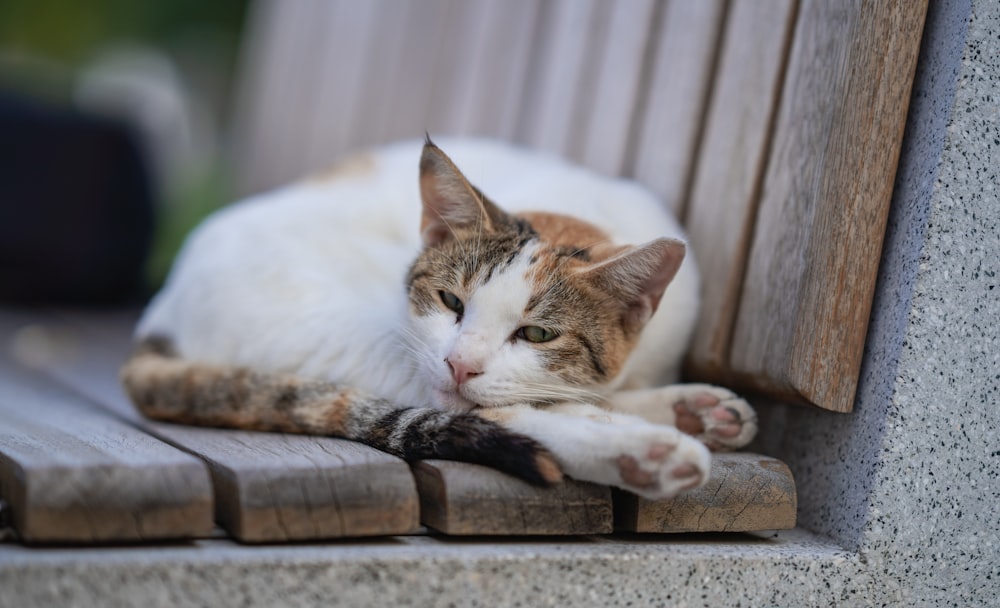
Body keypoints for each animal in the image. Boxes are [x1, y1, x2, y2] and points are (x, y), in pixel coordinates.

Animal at [119, 137, 756, 498]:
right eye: (451, 302)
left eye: (538, 333)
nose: (460, 364)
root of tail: (160, 309)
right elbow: (531, 406)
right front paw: (632, 433)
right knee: (492, 413)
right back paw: (641, 452)